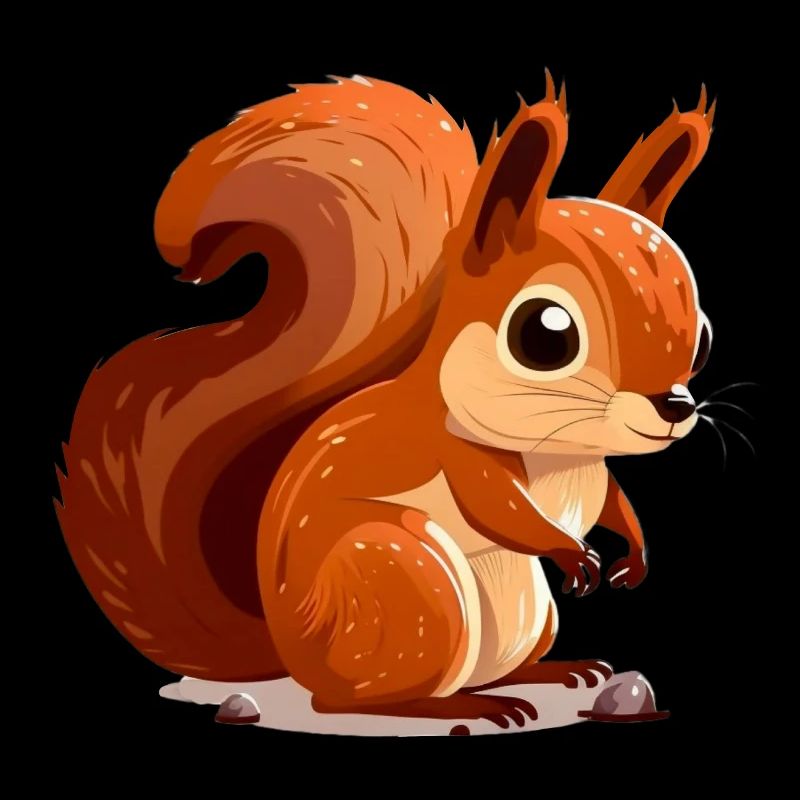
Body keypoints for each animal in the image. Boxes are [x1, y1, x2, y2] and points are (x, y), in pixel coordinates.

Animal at [57, 72, 716, 726]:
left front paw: (635, 553)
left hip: (528, 614)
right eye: (545, 334)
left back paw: (550, 672)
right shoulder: (455, 453)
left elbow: (615, 502)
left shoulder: (595, 475)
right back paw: (462, 707)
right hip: (404, 574)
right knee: (350, 700)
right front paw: (571, 552)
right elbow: (499, 509)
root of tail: (291, 653)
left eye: (705, 336)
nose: (675, 407)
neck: (561, 450)